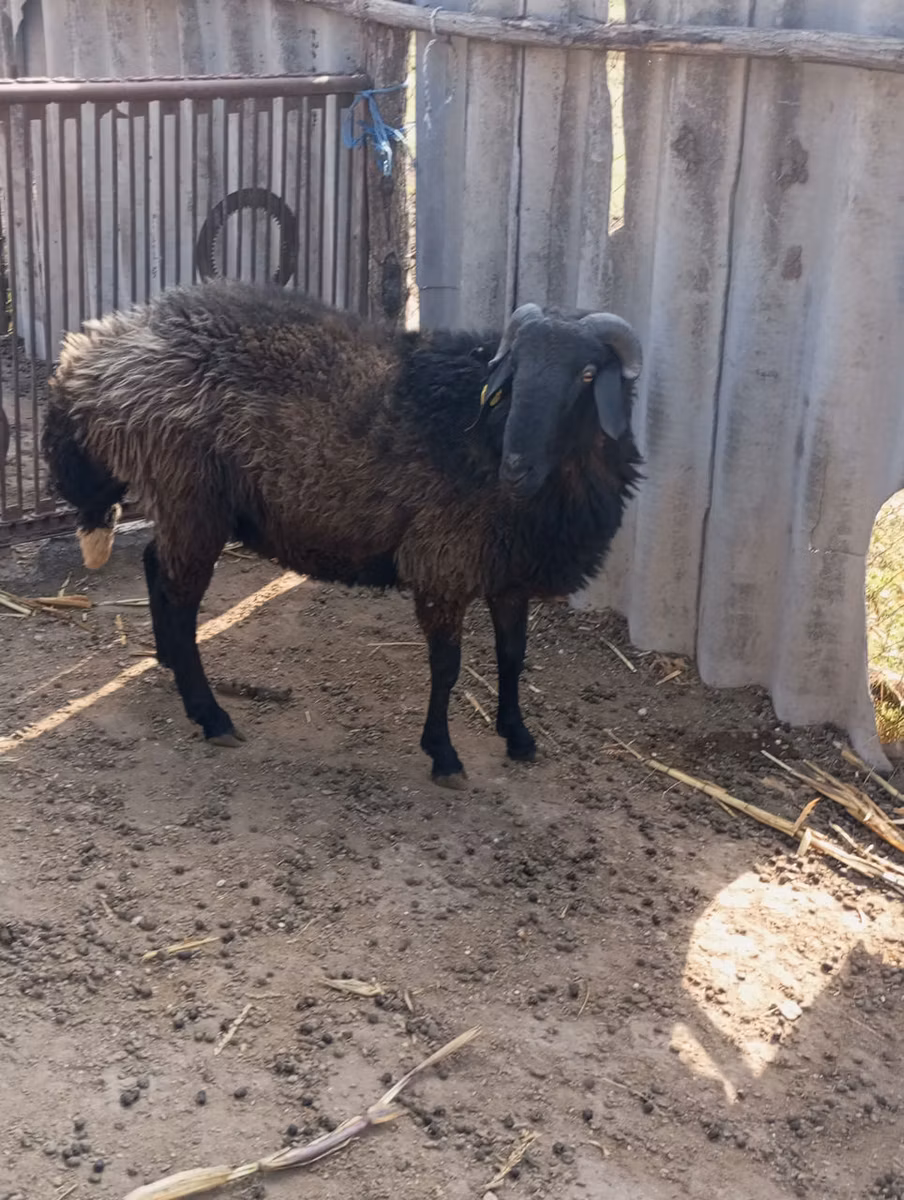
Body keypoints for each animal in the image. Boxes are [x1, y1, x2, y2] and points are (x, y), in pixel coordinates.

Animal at [42, 279, 643, 788]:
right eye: (514, 370)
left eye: (588, 374)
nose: (517, 467)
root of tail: (91, 354)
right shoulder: (443, 564)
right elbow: (447, 668)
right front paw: (444, 755)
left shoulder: (509, 571)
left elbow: (513, 656)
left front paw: (518, 736)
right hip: (189, 492)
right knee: (180, 596)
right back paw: (211, 715)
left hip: (184, 503)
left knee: (156, 569)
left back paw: (171, 662)